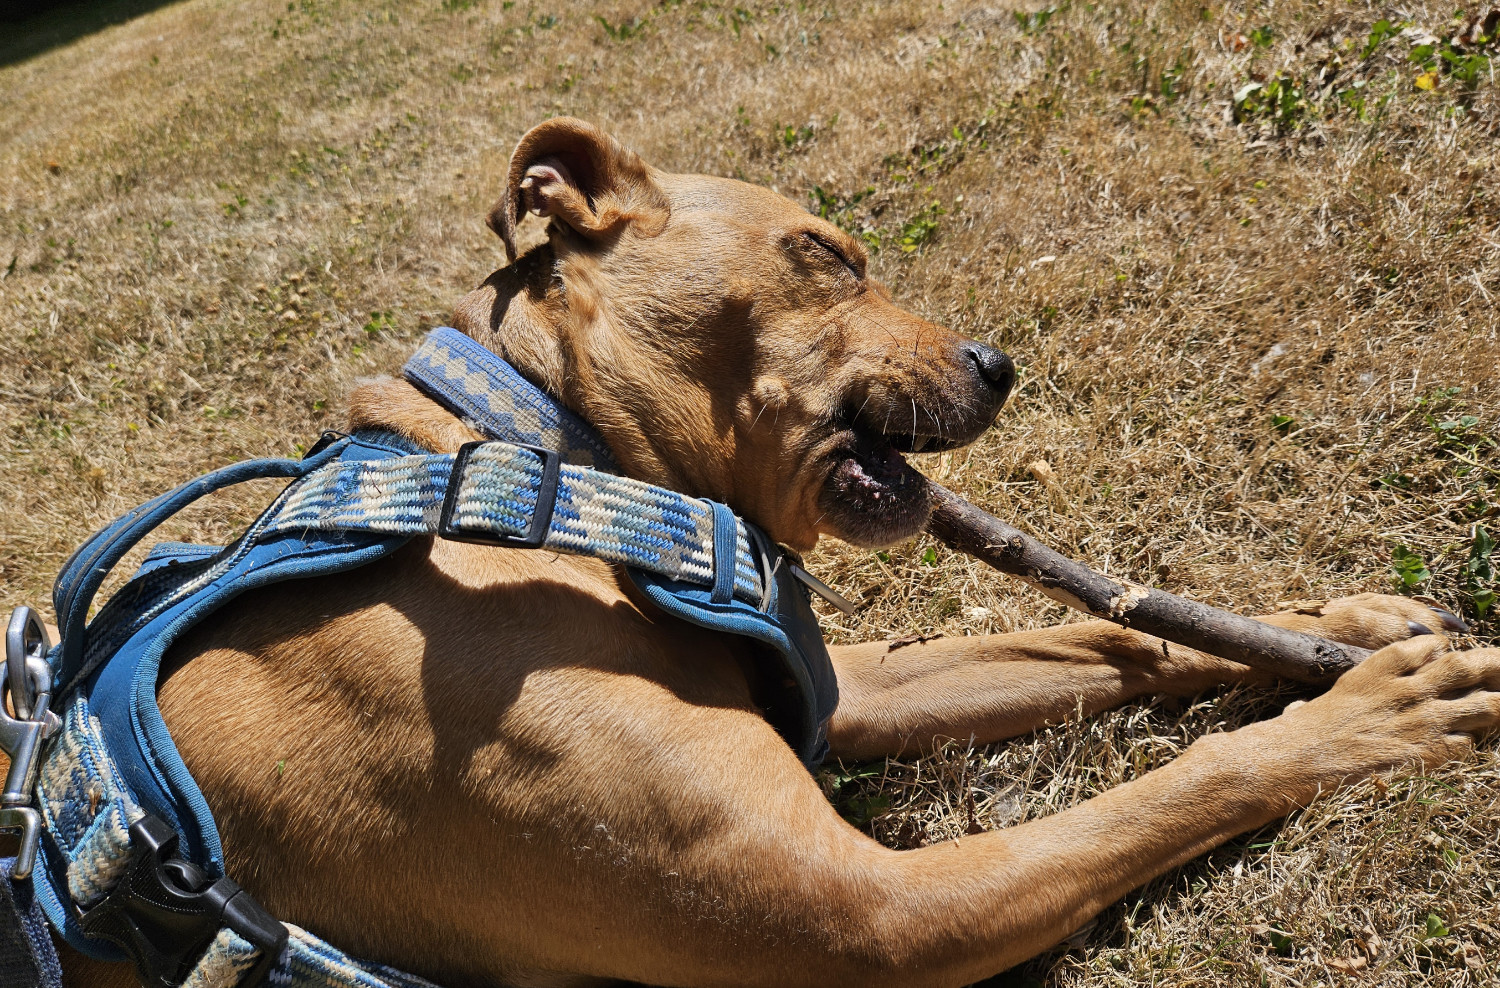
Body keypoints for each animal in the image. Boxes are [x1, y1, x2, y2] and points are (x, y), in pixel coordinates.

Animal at [58, 117, 1500, 988]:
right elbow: (1185, 780)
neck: (543, 473)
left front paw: (1349, 633)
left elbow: (1102, 629)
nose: (1000, 362)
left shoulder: (851, 682)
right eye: (819, 250)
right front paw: (1376, 713)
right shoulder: (870, 915)